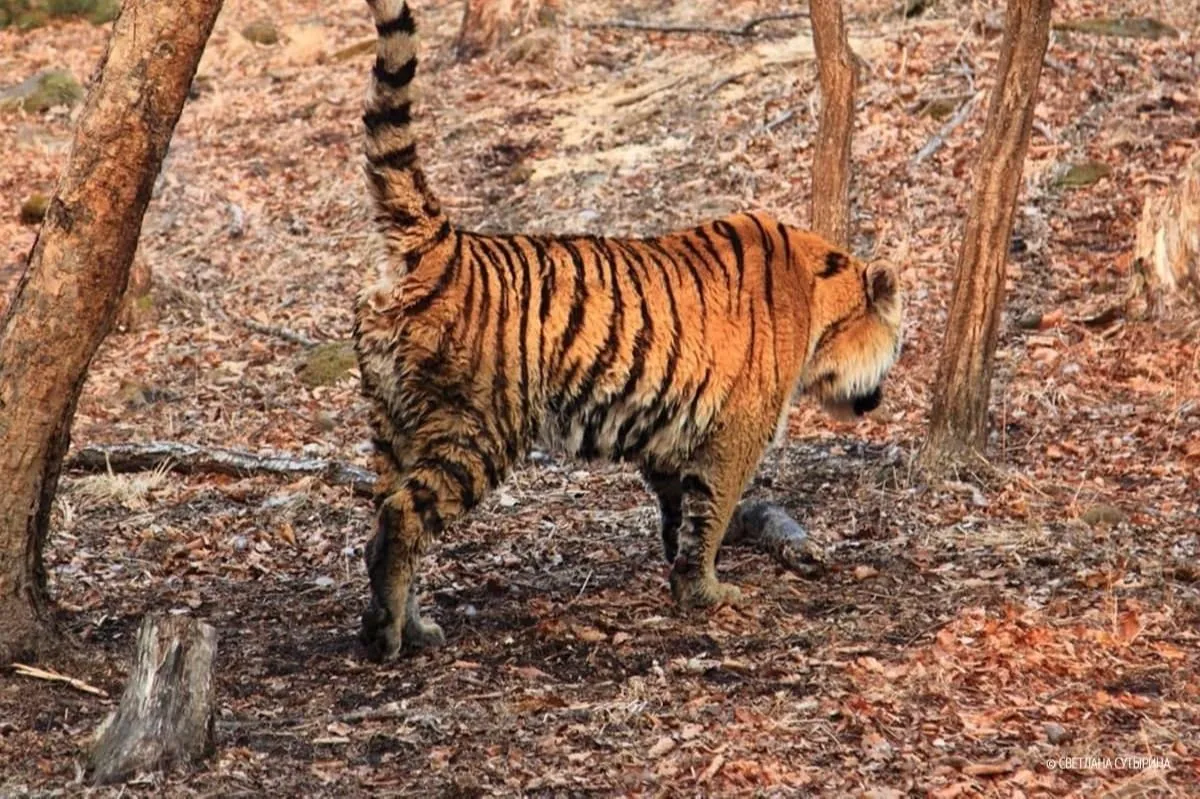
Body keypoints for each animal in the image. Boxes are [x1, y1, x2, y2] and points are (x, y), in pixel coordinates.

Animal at [350, 0, 902, 657]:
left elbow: (680, 516)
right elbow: (712, 512)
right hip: (477, 428)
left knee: (378, 522)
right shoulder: (737, 433)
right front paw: (710, 592)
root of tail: (440, 244)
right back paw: (389, 638)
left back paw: (407, 625)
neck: (818, 303)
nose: (878, 400)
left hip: (394, 424)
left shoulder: (671, 437)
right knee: (401, 518)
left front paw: (684, 583)